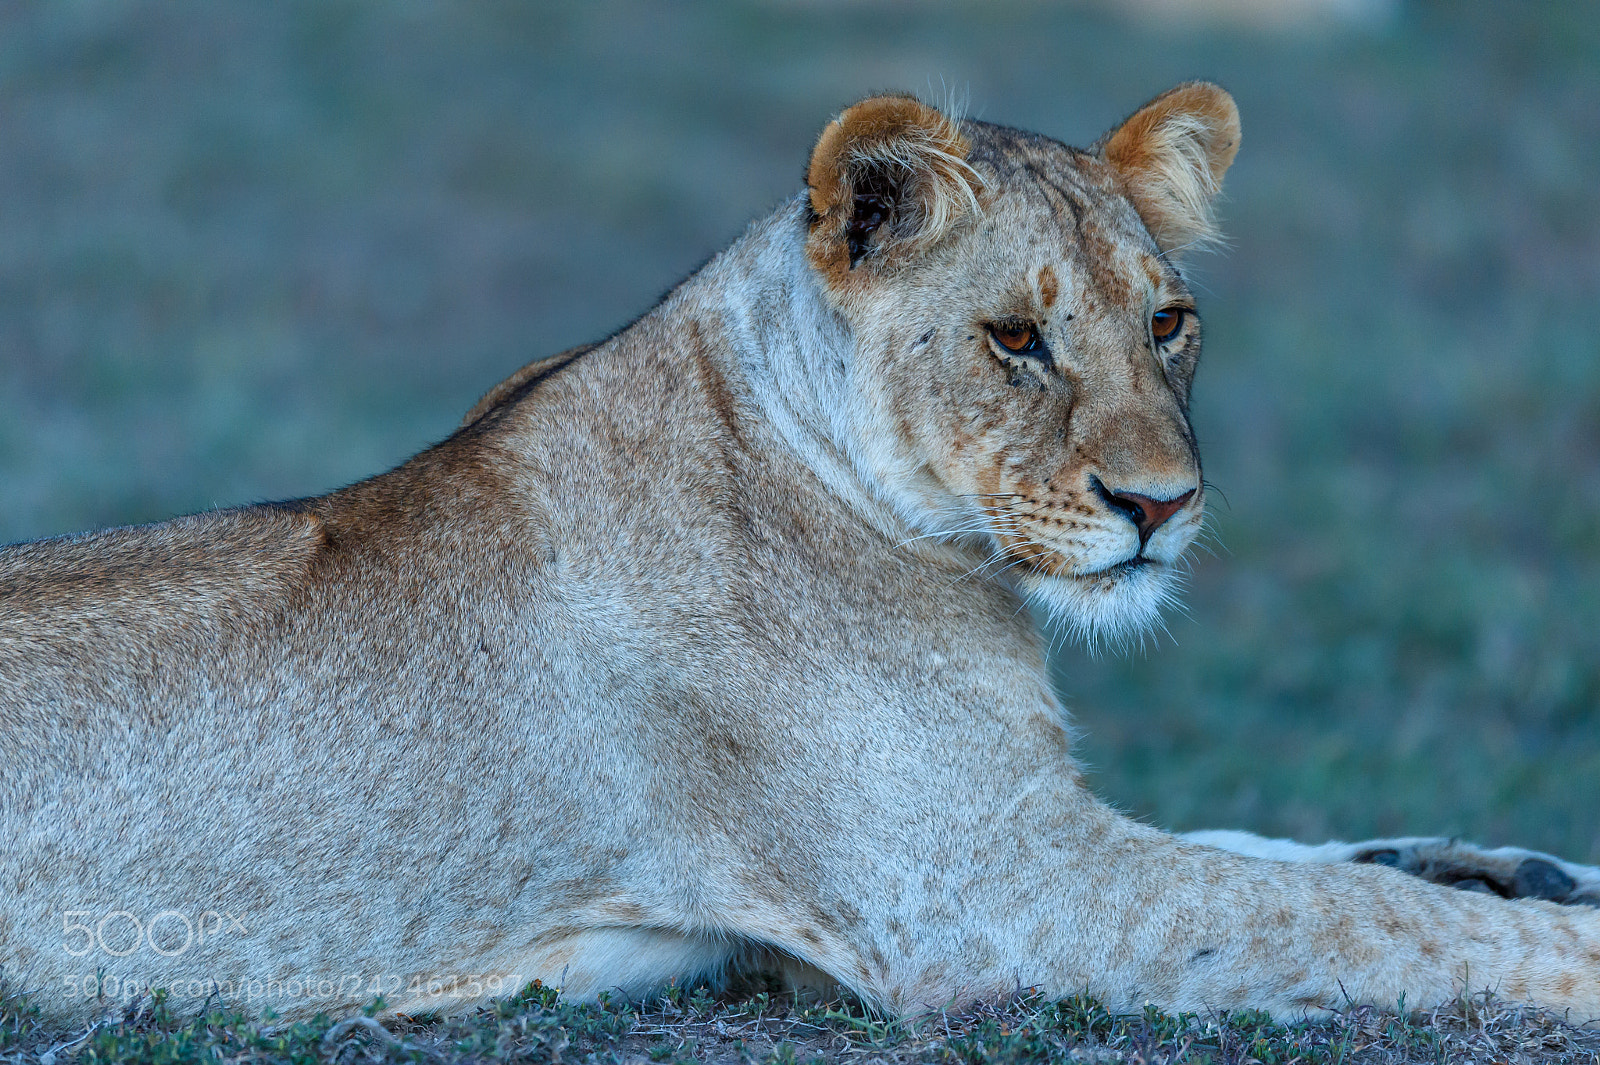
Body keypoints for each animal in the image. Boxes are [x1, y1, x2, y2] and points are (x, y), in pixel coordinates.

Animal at [4, 83, 1600, 1027]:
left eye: (1168, 322)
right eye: (1014, 338)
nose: (1161, 506)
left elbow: (1297, 853)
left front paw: (1532, 866)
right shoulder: (990, 895)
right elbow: (1352, 915)